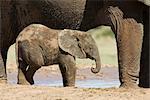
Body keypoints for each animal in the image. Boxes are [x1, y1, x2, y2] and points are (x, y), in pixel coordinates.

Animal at [0, 0, 149, 87]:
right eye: (89, 48)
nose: (92, 69)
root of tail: (20, 38)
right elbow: (128, 26)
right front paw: (129, 88)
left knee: (22, 62)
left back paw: (23, 84)